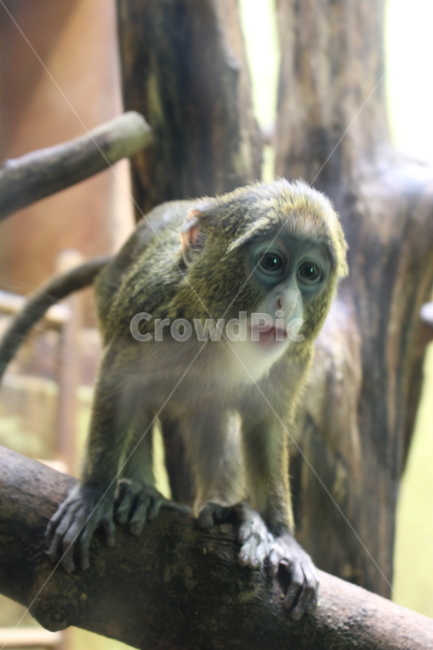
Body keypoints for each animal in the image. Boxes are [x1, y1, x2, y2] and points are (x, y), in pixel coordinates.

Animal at [0, 179, 348, 620]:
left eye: (309, 272)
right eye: (272, 262)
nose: (288, 302)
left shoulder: (296, 359)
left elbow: (265, 428)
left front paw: (282, 535)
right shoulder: (150, 306)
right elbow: (120, 383)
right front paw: (96, 492)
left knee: (212, 420)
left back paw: (227, 510)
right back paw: (140, 490)